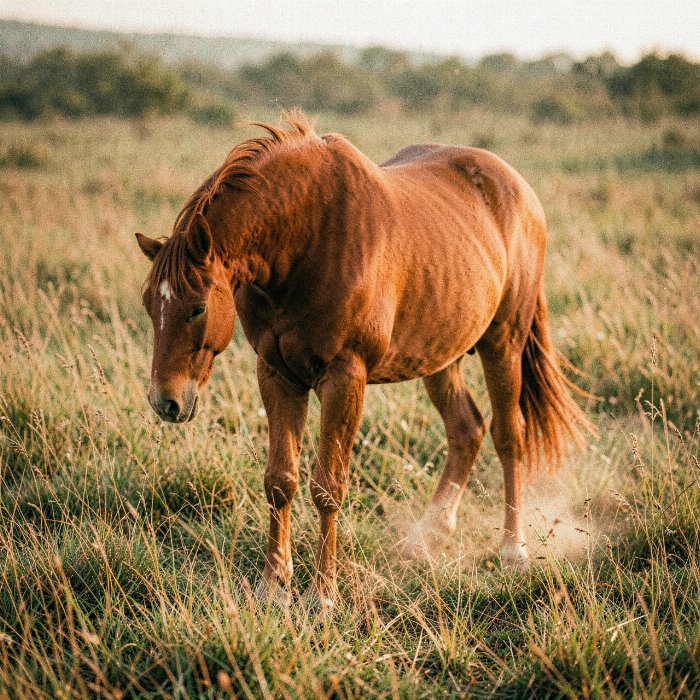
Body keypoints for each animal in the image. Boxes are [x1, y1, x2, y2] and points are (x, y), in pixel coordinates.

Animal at [136, 111, 591, 608]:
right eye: (148, 304)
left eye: (197, 308)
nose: (166, 403)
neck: (305, 240)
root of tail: (517, 186)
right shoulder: (276, 374)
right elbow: (280, 480)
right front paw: (273, 586)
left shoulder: (344, 378)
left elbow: (327, 487)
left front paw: (323, 593)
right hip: (440, 356)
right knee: (466, 430)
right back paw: (424, 540)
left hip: (502, 342)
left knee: (509, 437)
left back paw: (513, 550)